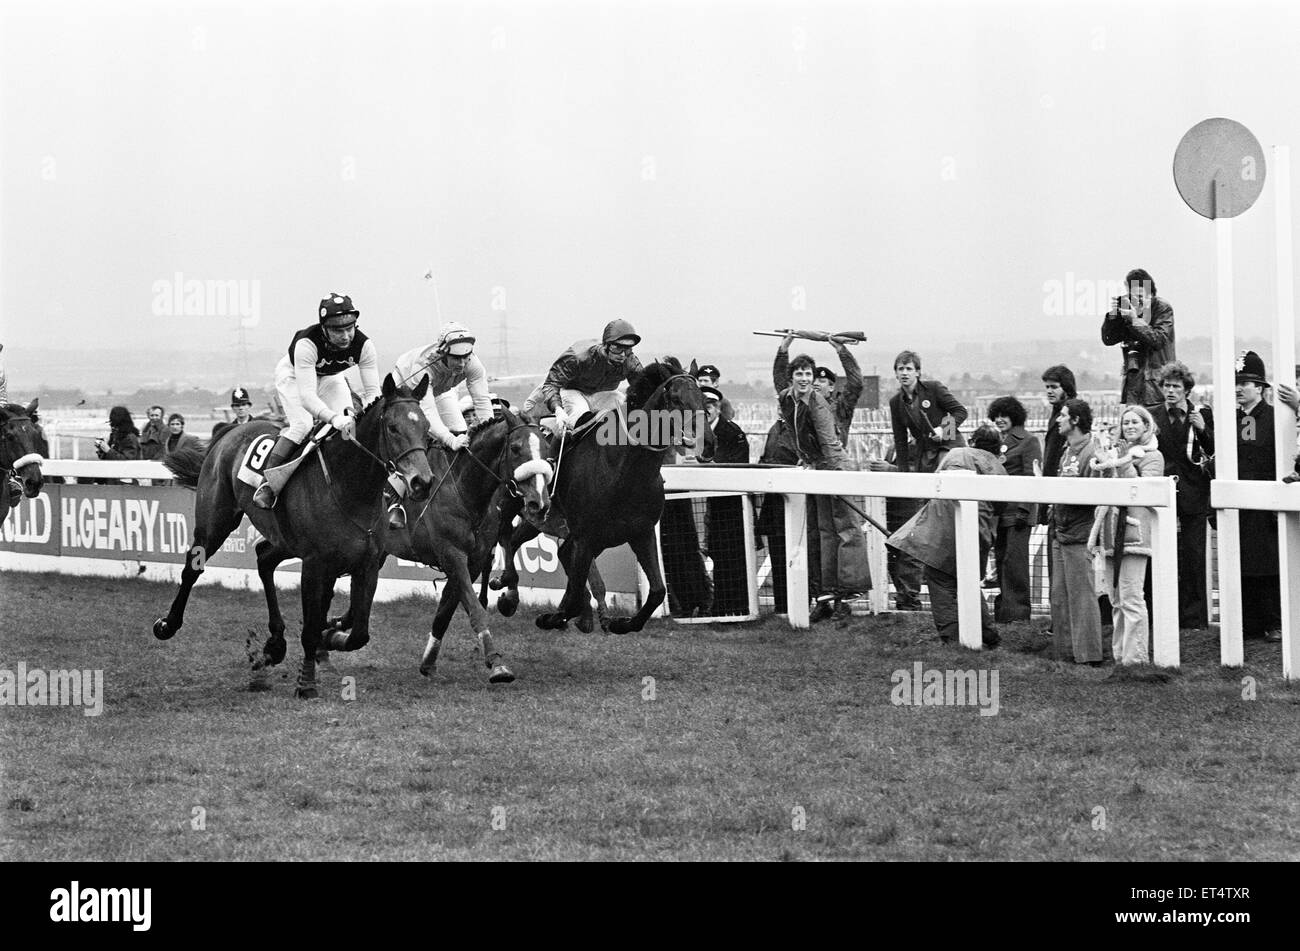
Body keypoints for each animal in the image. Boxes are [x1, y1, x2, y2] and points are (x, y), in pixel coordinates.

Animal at [152, 374, 436, 696]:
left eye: (426, 427)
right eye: (393, 428)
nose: (422, 482)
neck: (349, 487)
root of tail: (231, 430)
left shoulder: (367, 564)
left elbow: (358, 634)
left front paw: (329, 636)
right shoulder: (314, 564)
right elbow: (311, 630)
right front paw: (307, 683)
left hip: (284, 539)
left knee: (264, 557)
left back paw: (275, 644)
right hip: (215, 520)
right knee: (193, 567)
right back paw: (168, 624)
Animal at [379, 407, 556, 685]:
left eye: (547, 449)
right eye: (516, 448)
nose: (539, 502)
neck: (463, 490)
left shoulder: (474, 559)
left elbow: (447, 608)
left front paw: (428, 663)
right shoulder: (452, 555)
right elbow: (474, 607)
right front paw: (497, 664)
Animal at [496, 355, 707, 631]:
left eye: (702, 398)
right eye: (675, 398)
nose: (701, 438)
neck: (622, 470)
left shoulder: (641, 532)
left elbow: (657, 591)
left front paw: (620, 624)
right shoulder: (585, 537)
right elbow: (576, 592)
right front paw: (552, 617)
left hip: (545, 521)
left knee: (534, 545)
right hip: (516, 507)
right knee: (505, 538)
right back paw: (505, 591)